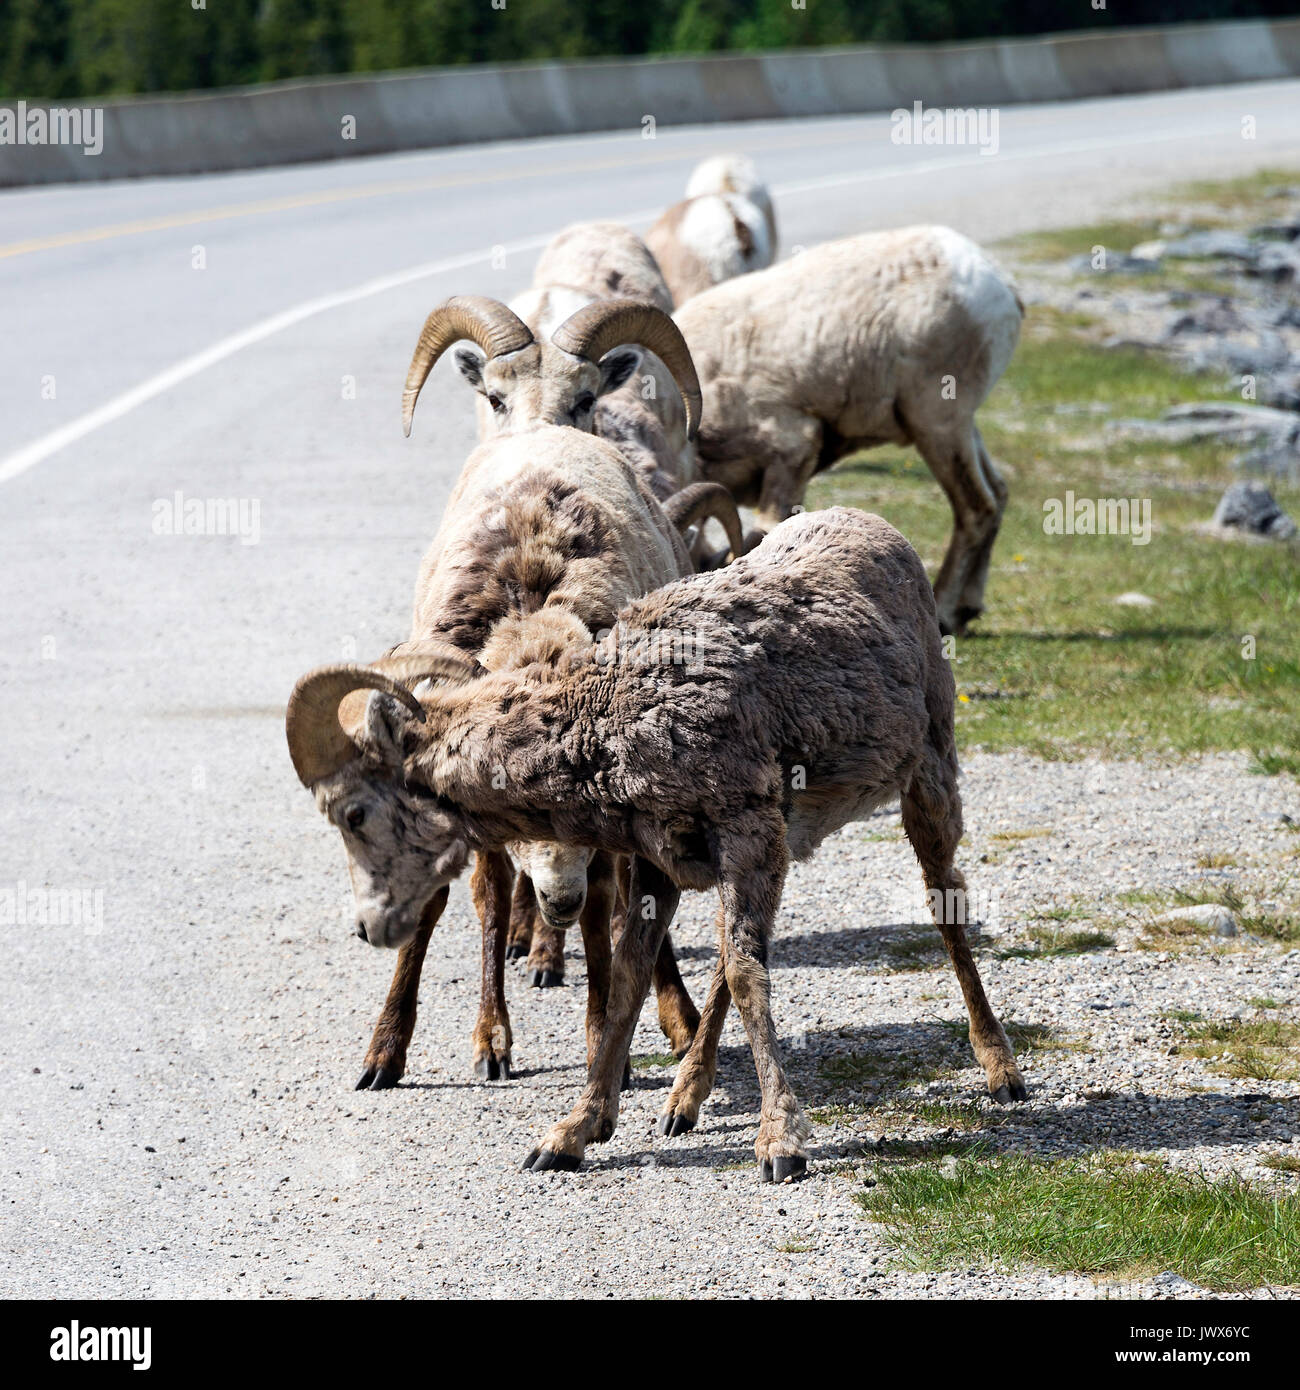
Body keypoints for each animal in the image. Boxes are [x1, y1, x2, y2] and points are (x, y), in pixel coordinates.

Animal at [285, 505, 1028, 1178]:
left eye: (352, 813)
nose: (368, 927)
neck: (609, 720)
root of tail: (883, 531)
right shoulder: (661, 863)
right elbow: (633, 982)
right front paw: (570, 1137)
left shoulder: (745, 835)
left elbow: (746, 977)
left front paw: (781, 1146)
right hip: (784, 839)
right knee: (734, 951)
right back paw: (683, 1102)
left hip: (925, 776)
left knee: (943, 903)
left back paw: (1002, 1073)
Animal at [330, 422, 706, 1084]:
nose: (559, 896)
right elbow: (473, 899)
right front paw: (416, 1049)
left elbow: (604, 904)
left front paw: (601, 1040)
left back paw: (679, 1019)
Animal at [670, 226, 1028, 636]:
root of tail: (1002, 286)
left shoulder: (792, 448)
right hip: (963, 427)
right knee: (998, 494)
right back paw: (968, 609)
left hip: (939, 423)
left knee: (976, 507)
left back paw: (946, 615)